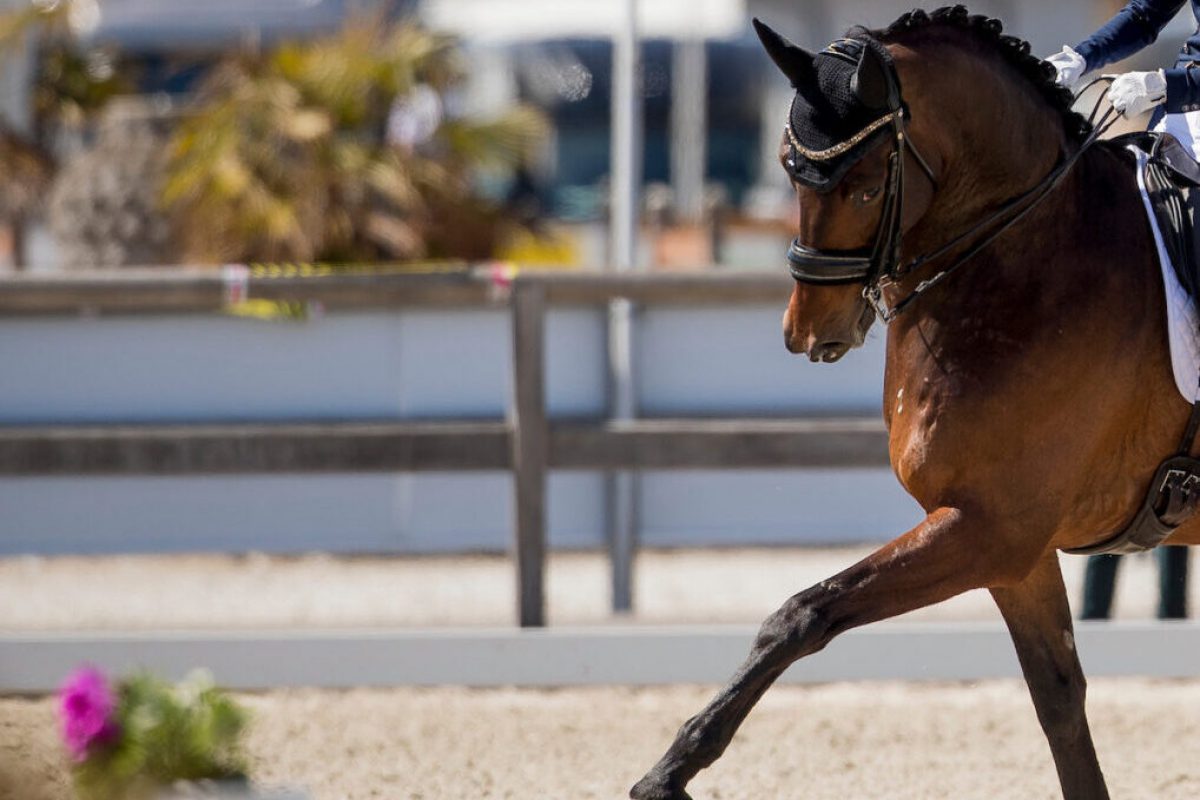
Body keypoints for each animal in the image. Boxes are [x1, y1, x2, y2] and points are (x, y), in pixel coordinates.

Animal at [633, 6, 1195, 800]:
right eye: (787, 168)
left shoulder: (990, 528)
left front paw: (669, 772)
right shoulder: (1012, 549)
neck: (1033, 262)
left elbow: (803, 613)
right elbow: (1058, 696)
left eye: (867, 188)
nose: (807, 332)